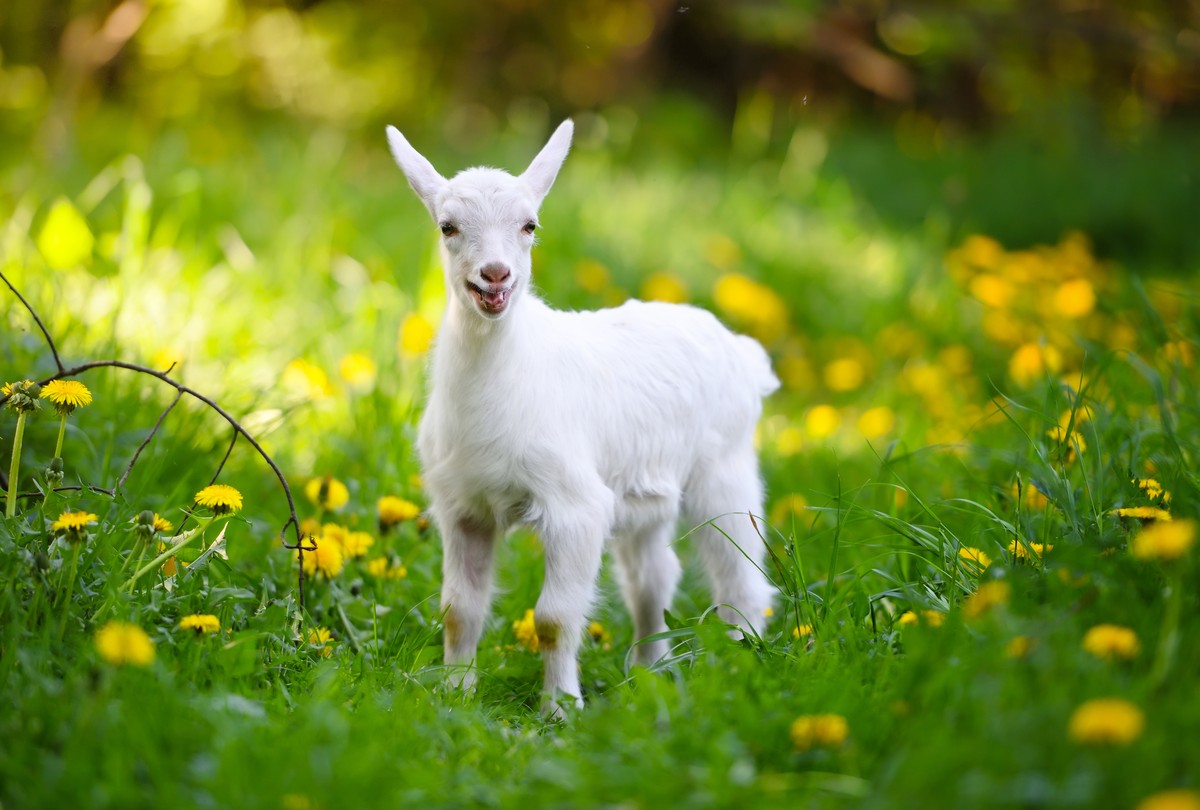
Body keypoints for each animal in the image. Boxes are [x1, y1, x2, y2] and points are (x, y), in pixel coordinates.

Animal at [386, 120, 779, 713]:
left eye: (529, 225)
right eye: (447, 226)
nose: (495, 276)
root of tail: (743, 351)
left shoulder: (576, 506)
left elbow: (552, 618)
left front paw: (559, 708)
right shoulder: (463, 507)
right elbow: (459, 609)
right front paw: (455, 693)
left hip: (724, 467)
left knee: (740, 572)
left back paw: (740, 661)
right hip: (645, 494)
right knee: (653, 576)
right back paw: (648, 671)